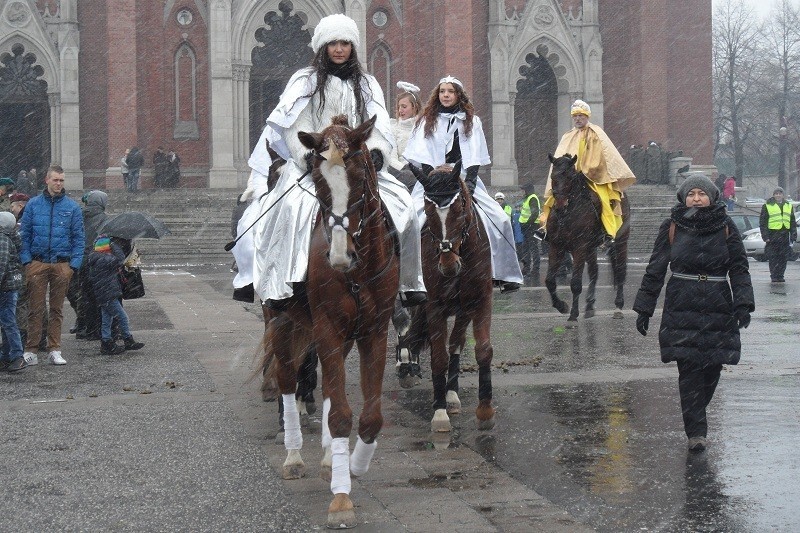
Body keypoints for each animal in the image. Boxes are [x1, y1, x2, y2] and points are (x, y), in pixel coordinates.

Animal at [260, 114, 398, 524]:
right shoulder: (327, 327)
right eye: (318, 181)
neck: (358, 271)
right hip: (281, 320)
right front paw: (341, 497)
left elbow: (368, 416)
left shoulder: (373, 331)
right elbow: (339, 414)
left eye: (360, 175)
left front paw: (352, 465)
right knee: (288, 380)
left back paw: (326, 458)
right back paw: (293, 454)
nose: (340, 255)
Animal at [410, 165, 496, 432]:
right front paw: (439, 413)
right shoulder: (434, 306)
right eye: (428, 211)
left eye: (459, 209)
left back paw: (451, 395)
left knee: (456, 342)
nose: (448, 265)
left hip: (462, 310)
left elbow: (482, 350)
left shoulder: (480, 301)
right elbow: (438, 358)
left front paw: (485, 409)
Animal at [548, 152, 628, 322]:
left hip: (620, 241)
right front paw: (561, 306)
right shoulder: (555, 245)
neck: (566, 215)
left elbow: (576, 283)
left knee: (620, 271)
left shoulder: (579, 247)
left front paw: (573, 314)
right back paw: (590, 305)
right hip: (591, 248)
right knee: (594, 272)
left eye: (570, 176)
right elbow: (550, 281)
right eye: (553, 176)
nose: (560, 205)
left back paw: (618, 306)